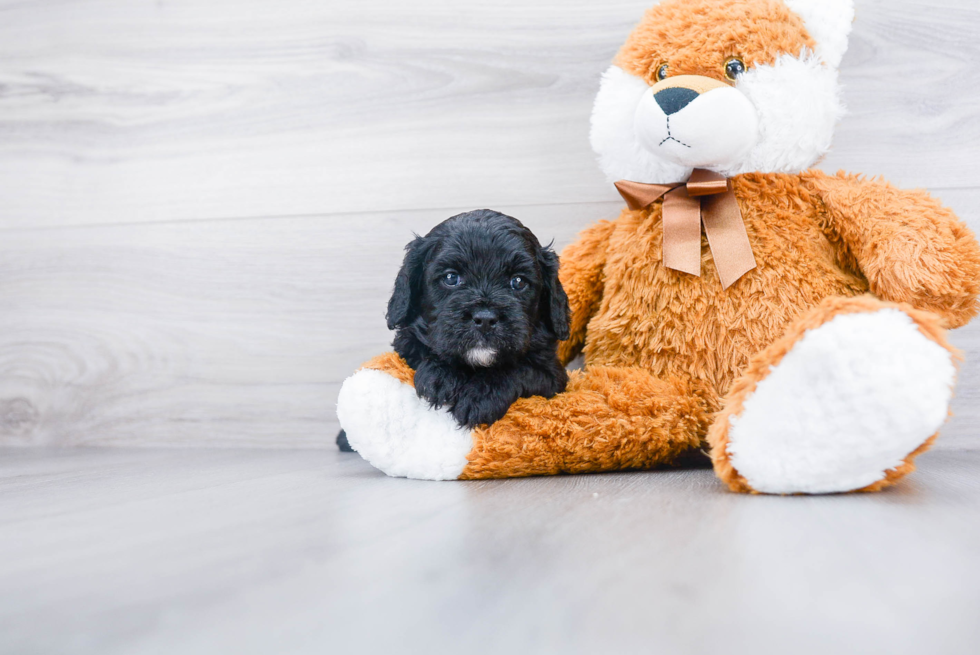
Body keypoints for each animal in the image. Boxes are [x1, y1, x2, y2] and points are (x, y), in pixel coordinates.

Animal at [336, 210, 572, 452]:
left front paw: (480, 396)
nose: (485, 318)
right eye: (451, 277)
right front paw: (443, 376)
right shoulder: (406, 348)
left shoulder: (553, 376)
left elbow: (522, 368)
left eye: (518, 281)